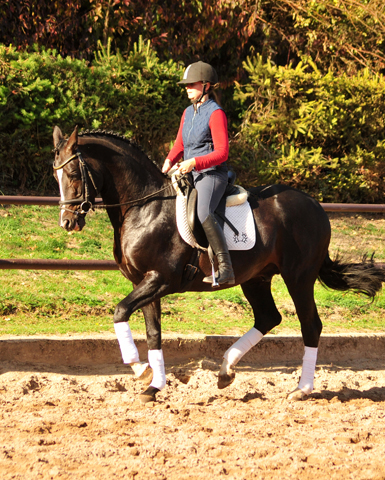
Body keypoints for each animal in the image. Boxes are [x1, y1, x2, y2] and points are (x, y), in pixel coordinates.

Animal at [51, 125, 384, 404]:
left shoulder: (160, 279)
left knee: (310, 326)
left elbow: (120, 311)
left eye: (74, 174)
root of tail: (315, 205)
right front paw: (153, 385)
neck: (144, 207)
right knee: (268, 317)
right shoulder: (143, 282)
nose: (68, 222)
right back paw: (225, 371)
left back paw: (301, 389)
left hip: (298, 278)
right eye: (57, 176)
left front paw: (141, 370)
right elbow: (153, 333)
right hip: (256, 278)